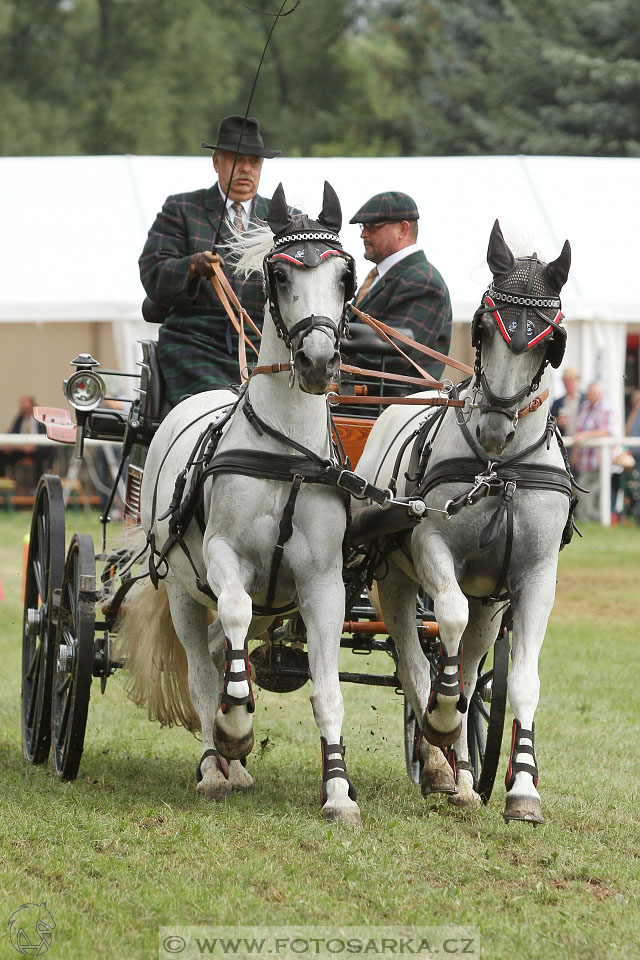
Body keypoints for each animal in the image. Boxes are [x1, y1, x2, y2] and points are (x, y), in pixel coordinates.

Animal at [120, 182, 360, 824]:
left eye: (345, 275)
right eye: (279, 274)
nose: (318, 362)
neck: (286, 453)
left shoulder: (322, 583)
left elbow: (327, 693)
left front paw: (337, 791)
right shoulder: (224, 557)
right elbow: (230, 622)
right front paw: (235, 728)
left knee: (226, 651)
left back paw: (238, 765)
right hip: (181, 588)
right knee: (204, 671)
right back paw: (215, 763)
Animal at [358, 221, 572, 820]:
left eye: (547, 342)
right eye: (482, 330)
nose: (496, 425)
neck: (500, 470)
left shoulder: (534, 578)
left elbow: (521, 681)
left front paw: (522, 789)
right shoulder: (432, 545)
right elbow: (445, 625)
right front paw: (442, 718)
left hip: (490, 603)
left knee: (474, 670)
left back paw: (464, 776)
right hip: (393, 580)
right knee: (415, 664)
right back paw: (437, 758)